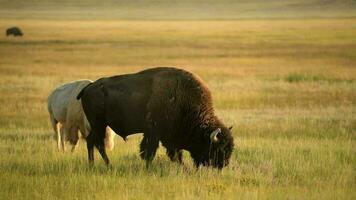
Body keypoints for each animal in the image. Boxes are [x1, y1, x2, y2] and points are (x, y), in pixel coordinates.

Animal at [76, 67, 235, 169]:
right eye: (218, 148)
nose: (222, 165)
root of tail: (89, 87)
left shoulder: (163, 137)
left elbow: (172, 153)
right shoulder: (154, 134)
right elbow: (151, 152)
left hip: (99, 125)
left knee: (92, 141)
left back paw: (95, 165)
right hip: (99, 124)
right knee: (96, 143)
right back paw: (105, 165)